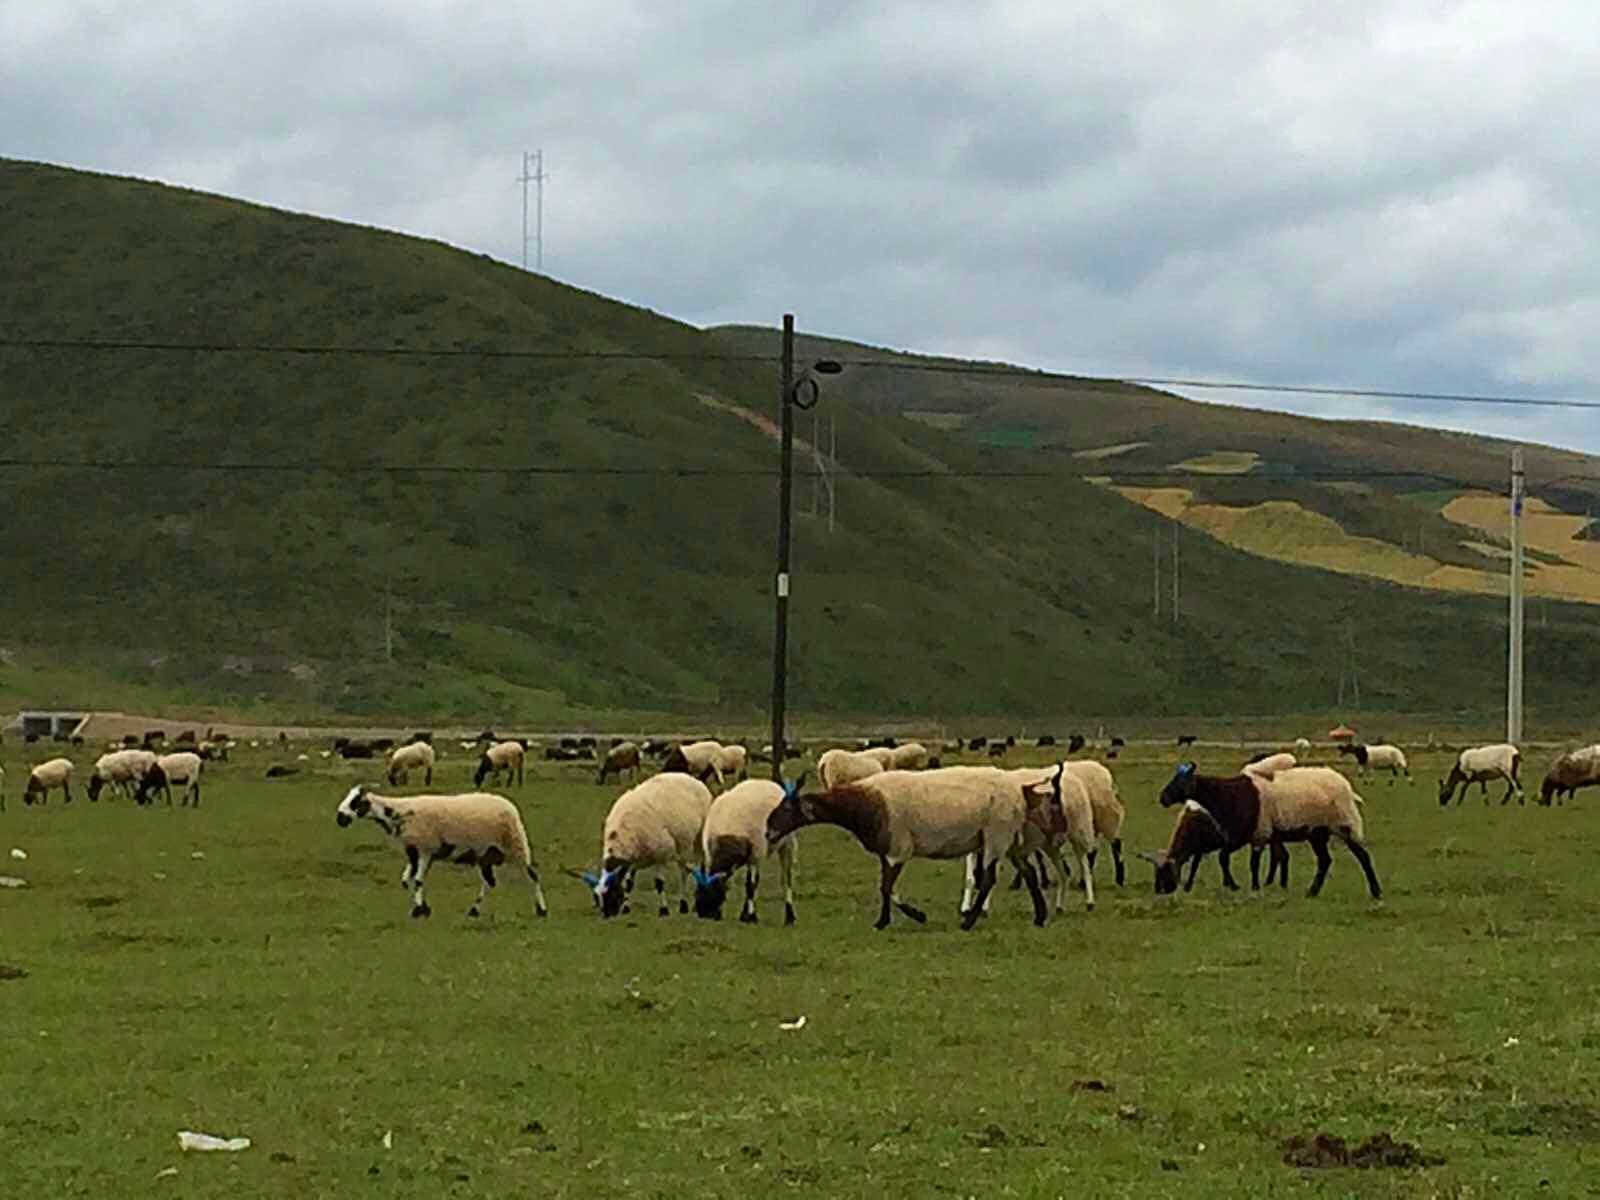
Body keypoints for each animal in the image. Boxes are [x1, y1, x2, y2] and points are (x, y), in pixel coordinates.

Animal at [332, 790, 550, 921]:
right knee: (490, 882)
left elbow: (418, 881)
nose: (339, 818)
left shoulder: (425, 849)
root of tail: (510, 806)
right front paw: (422, 908)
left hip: (516, 845)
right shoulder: (415, 852)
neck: (397, 813)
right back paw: (473, 910)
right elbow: (408, 880)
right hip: (485, 854)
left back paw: (542, 910)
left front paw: (419, 910)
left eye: (355, 801)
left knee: (533, 876)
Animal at [588, 771, 713, 921]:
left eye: (612, 893)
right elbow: (629, 883)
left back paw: (685, 905)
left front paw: (664, 910)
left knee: (689, 870)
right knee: (685, 869)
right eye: (597, 897)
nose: (607, 916)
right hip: (682, 845)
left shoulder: (660, 854)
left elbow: (659, 883)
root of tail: (688, 776)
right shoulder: (633, 860)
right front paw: (626, 908)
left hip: (698, 839)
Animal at [691, 780, 796, 928]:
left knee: (786, 878)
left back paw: (790, 918)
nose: (703, 914)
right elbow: (743, 883)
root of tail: (766, 782)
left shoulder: (756, 854)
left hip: (787, 843)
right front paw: (744, 916)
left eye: (714, 893)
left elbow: (751, 885)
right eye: (697, 893)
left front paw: (752, 918)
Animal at [764, 764, 1056, 934]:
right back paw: (1040, 917)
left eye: (787, 808)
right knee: (1029, 872)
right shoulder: (887, 850)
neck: (861, 805)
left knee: (988, 880)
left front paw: (915, 916)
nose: (768, 831)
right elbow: (885, 887)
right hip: (1010, 839)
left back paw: (968, 922)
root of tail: (1019, 790)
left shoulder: (899, 848)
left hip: (996, 834)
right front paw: (884, 921)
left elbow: (887, 888)